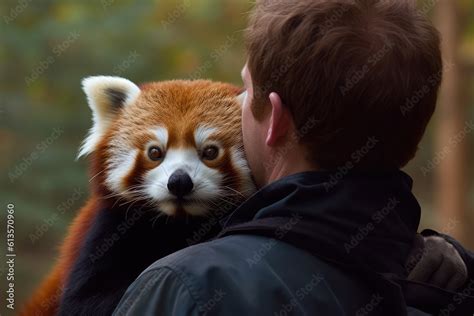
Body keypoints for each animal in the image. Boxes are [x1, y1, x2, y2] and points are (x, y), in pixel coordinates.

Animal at [21, 76, 256, 316]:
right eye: (155, 152)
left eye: (210, 152)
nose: (179, 182)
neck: (177, 226)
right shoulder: (103, 234)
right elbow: (88, 300)